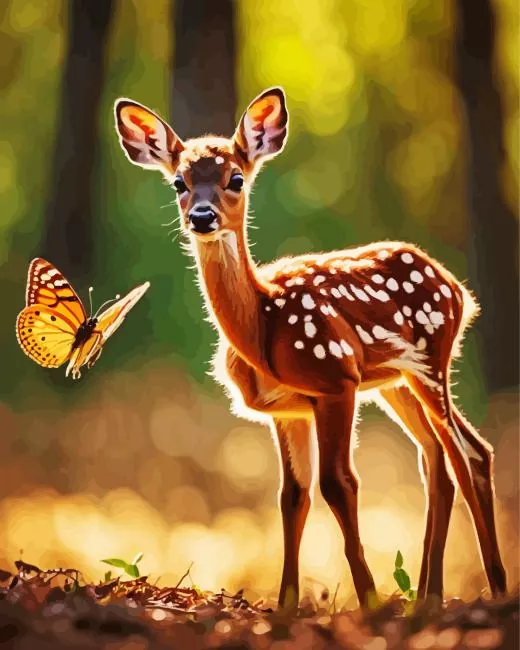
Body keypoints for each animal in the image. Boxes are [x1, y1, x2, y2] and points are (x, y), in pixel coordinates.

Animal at [114, 87, 507, 609]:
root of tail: (459, 290)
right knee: (438, 459)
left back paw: (492, 589)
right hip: (394, 381)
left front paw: (369, 600)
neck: (263, 323)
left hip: (429, 359)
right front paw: (286, 606)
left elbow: (339, 484)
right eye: (179, 181)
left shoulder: (335, 381)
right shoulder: (288, 410)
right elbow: (293, 496)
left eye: (235, 178)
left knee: (467, 453)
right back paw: (429, 596)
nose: (201, 216)